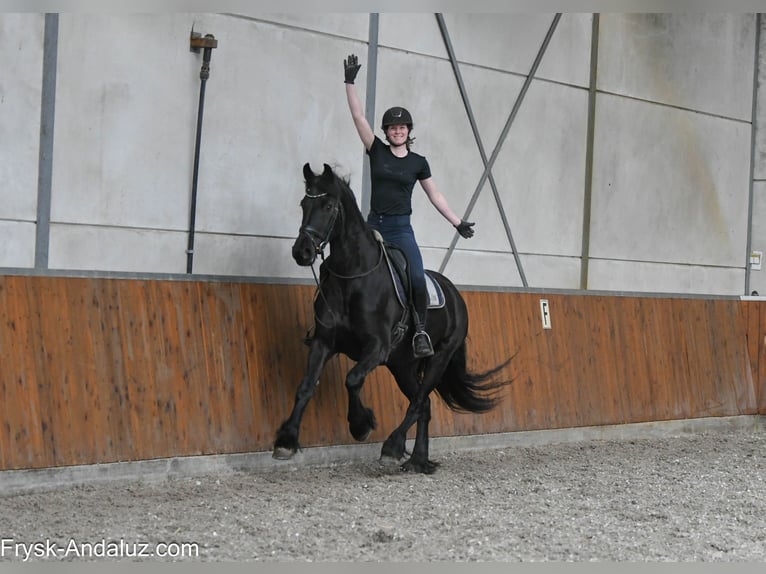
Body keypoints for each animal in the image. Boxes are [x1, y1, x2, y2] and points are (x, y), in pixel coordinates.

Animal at [273, 163, 511, 473]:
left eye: (327, 205)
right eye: (304, 204)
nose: (302, 251)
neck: (353, 276)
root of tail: (455, 296)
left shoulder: (377, 347)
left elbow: (353, 379)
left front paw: (361, 425)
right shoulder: (324, 342)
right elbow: (305, 386)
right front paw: (286, 441)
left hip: (438, 358)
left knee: (419, 402)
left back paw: (393, 447)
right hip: (402, 365)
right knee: (424, 405)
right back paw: (417, 460)